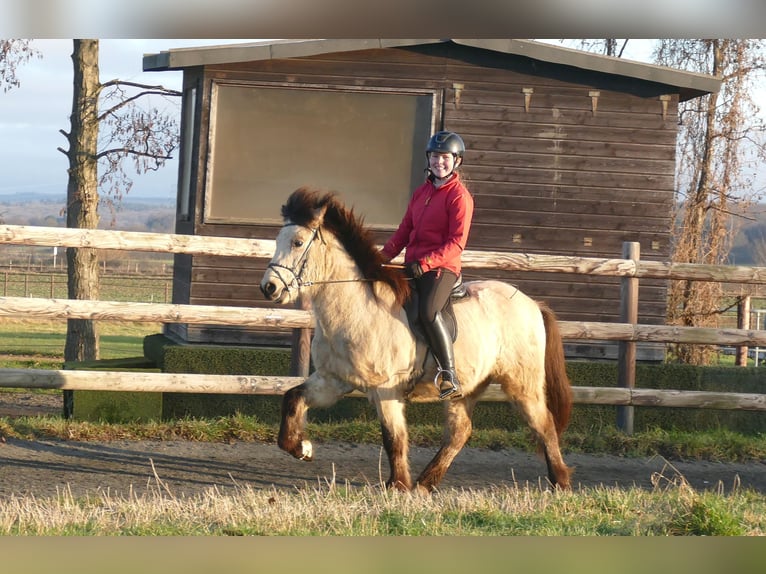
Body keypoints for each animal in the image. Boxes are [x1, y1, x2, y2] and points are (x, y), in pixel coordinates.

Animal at [260, 187, 573, 492]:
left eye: (298, 242)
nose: (269, 287)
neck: (357, 310)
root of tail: (533, 305)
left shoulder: (386, 388)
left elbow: (393, 438)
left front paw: (397, 486)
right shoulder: (333, 380)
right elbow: (293, 398)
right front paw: (303, 448)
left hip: (521, 383)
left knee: (543, 424)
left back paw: (561, 481)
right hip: (467, 388)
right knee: (460, 432)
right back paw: (425, 483)